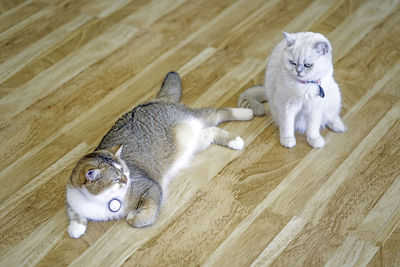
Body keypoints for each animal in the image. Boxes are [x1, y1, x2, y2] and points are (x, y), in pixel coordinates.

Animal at [65, 71, 253, 239]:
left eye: (125, 172)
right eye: (117, 179)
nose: (127, 180)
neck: (103, 202)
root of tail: (154, 101)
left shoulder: (150, 188)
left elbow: (143, 218)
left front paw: (133, 216)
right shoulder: (73, 199)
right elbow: (73, 213)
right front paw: (76, 228)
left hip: (196, 118)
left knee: (218, 111)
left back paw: (247, 113)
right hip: (195, 139)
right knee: (212, 130)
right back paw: (234, 140)